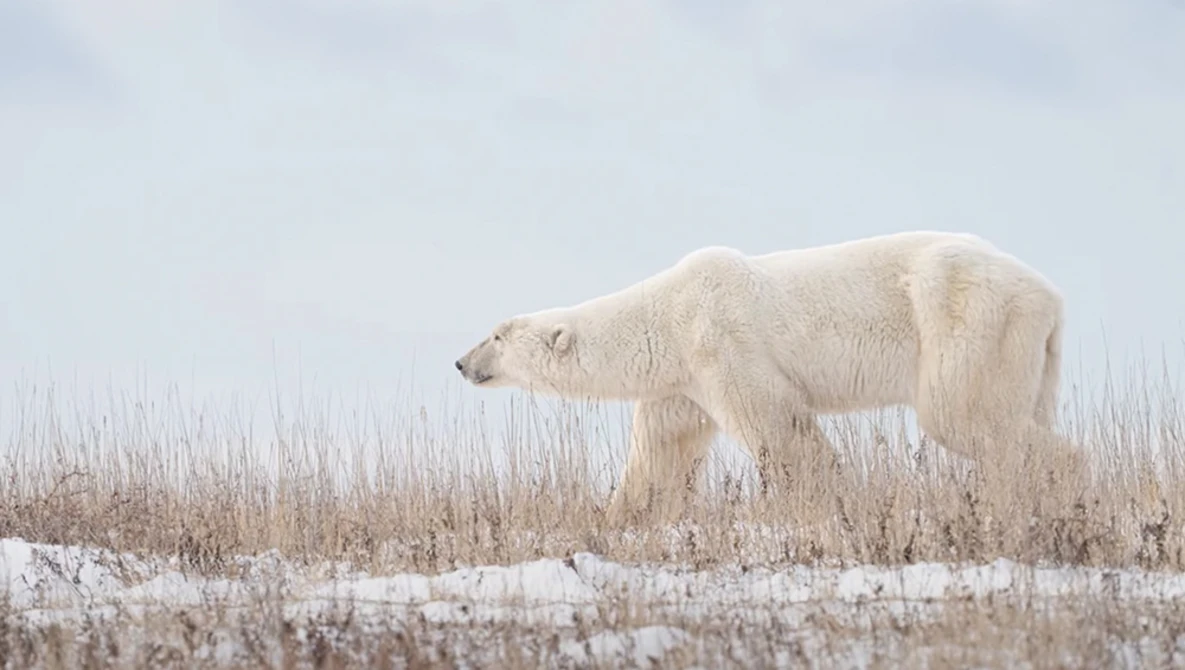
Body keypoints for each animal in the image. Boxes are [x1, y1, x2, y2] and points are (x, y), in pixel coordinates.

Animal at [454, 230, 1083, 524]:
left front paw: (823, 503)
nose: (462, 363)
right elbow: (661, 451)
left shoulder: (722, 343)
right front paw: (620, 519)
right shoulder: (681, 380)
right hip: (1026, 347)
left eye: (498, 334)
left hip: (965, 317)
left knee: (962, 413)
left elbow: (781, 430)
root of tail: (1050, 296)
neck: (668, 313)